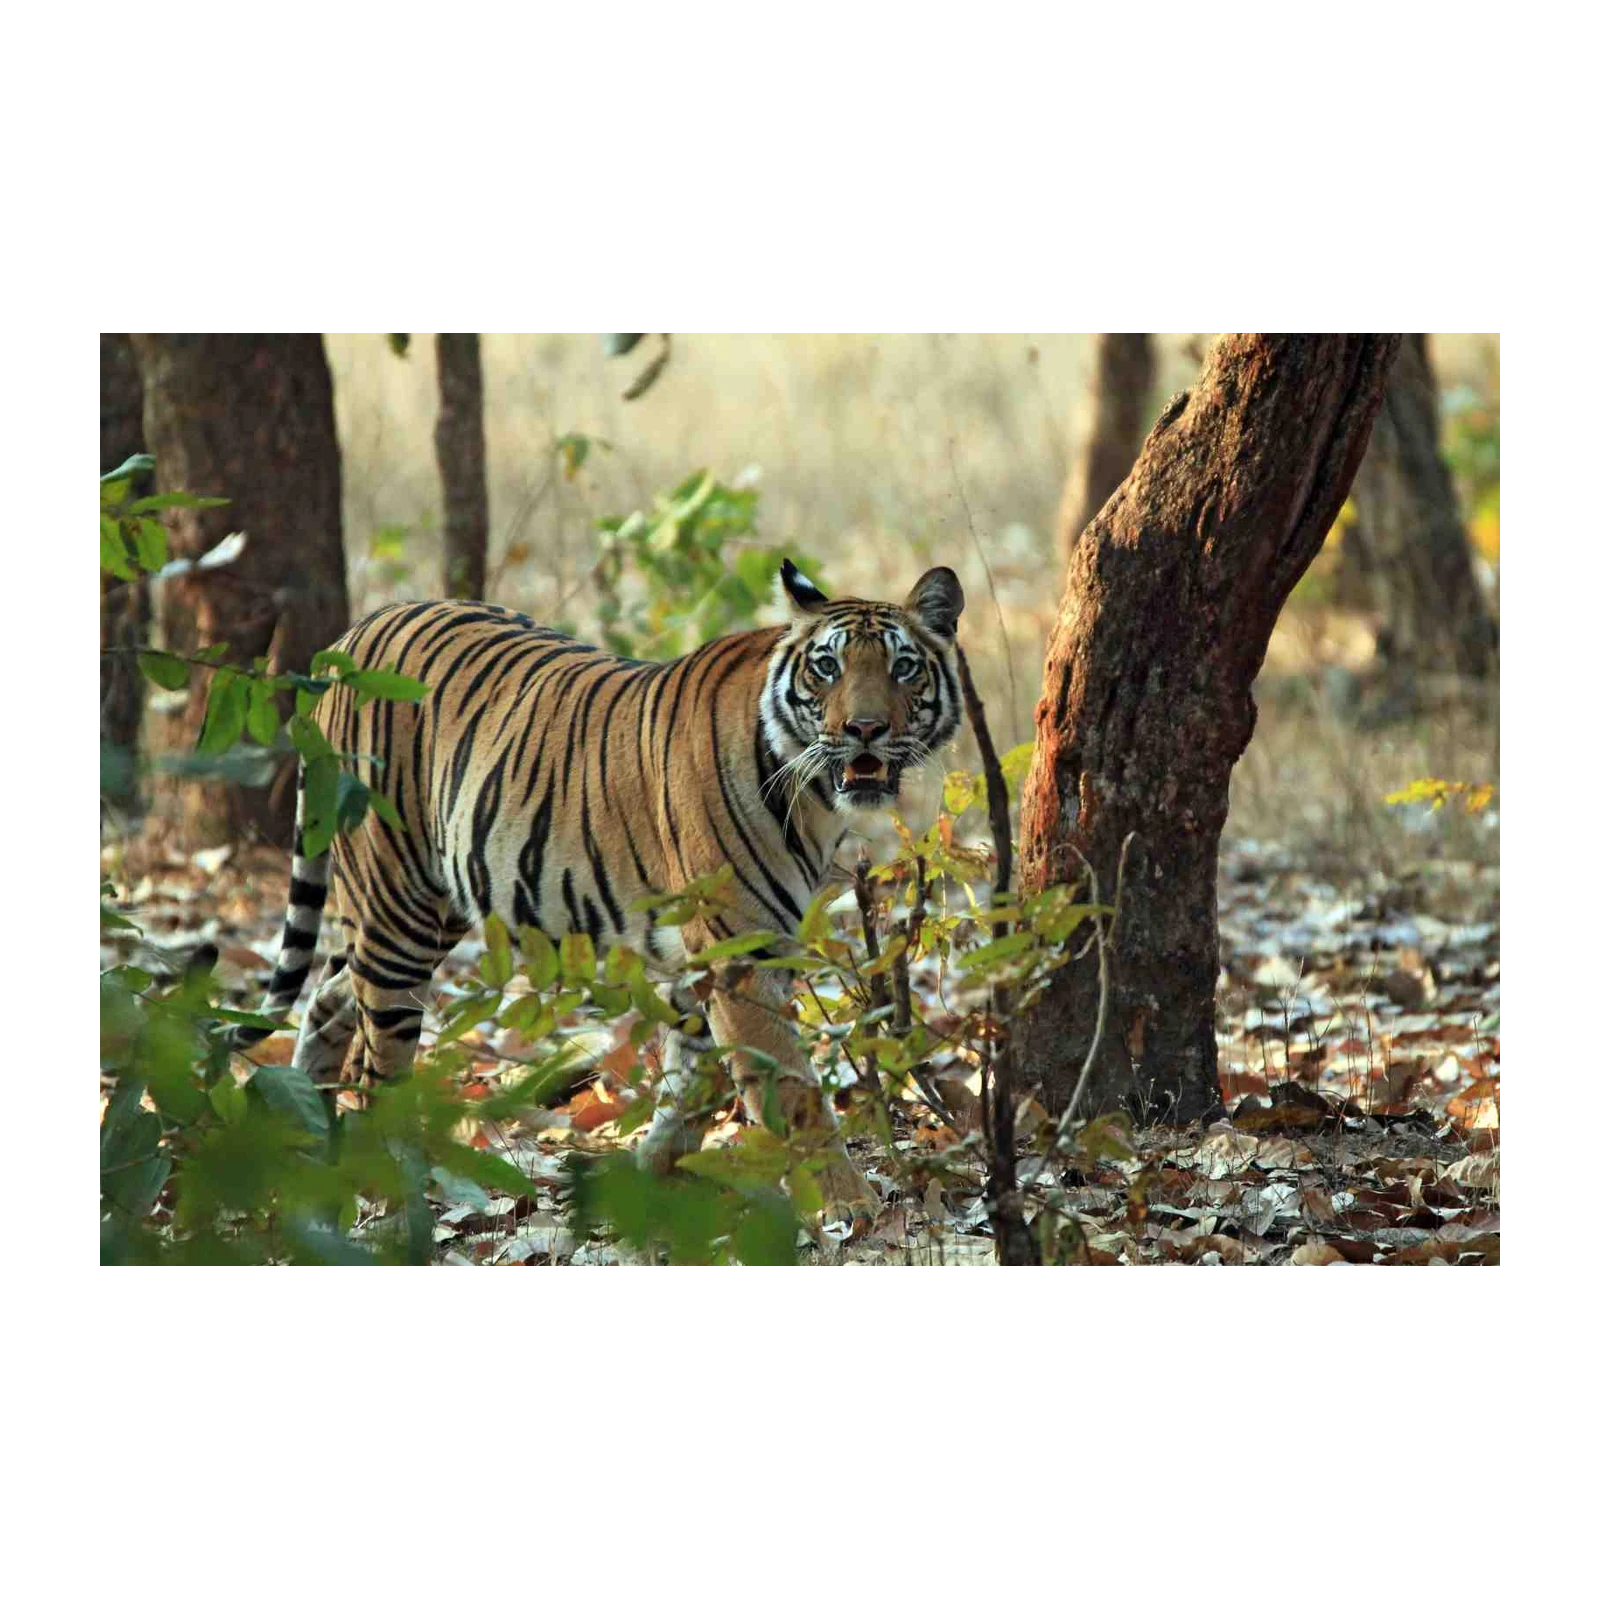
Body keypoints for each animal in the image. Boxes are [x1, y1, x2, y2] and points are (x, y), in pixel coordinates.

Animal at [230, 558, 967, 1226]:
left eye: (904, 668)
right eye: (827, 668)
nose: (864, 729)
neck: (815, 801)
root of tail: (355, 633)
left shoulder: (705, 959)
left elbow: (691, 1083)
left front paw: (651, 1179)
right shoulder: (739, 954)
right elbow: (790, 1087)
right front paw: (851, 1205)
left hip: (434, 904)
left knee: (331, 997)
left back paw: (303, 1135)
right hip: (396, 902)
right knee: (379, 1057)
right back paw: (383, 1187)